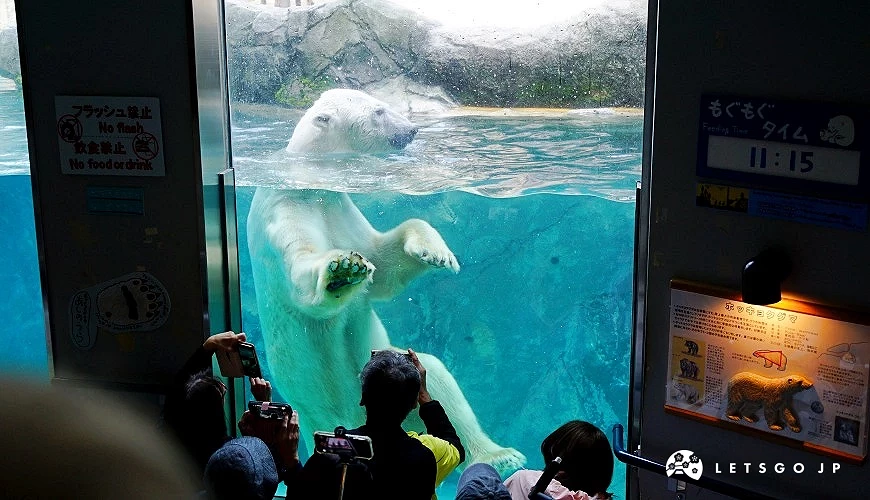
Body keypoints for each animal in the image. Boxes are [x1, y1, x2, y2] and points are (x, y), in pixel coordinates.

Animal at [246, 88, 526, 472]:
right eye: (379, 111)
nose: (412, 129)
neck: (310, 181)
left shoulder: (340, 209)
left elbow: (382, 263)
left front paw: (435, 252)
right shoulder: (287, 208)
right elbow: (303, 272)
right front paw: (342, 270)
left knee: (437, 377)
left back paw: (500, 456)